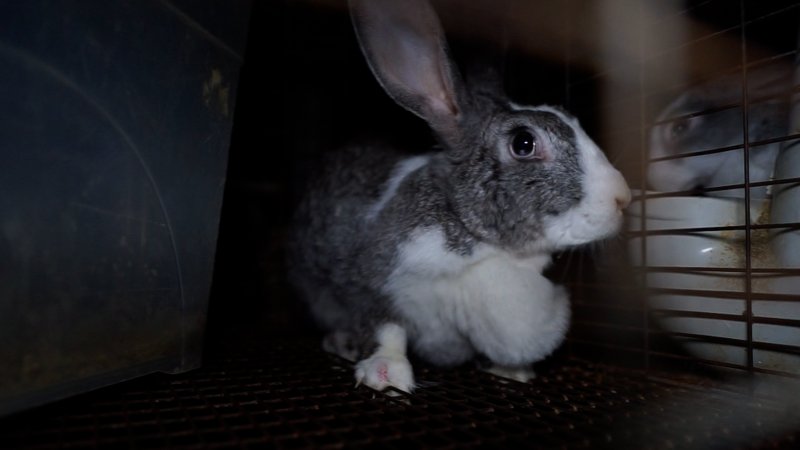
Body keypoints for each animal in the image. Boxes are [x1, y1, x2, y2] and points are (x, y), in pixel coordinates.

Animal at [288, 0, 632, 392]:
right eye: (523, 143)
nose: (622, 198)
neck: (482, 244)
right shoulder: (372, 284)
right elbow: (386, 328)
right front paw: (386, 374)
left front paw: (513, 372)